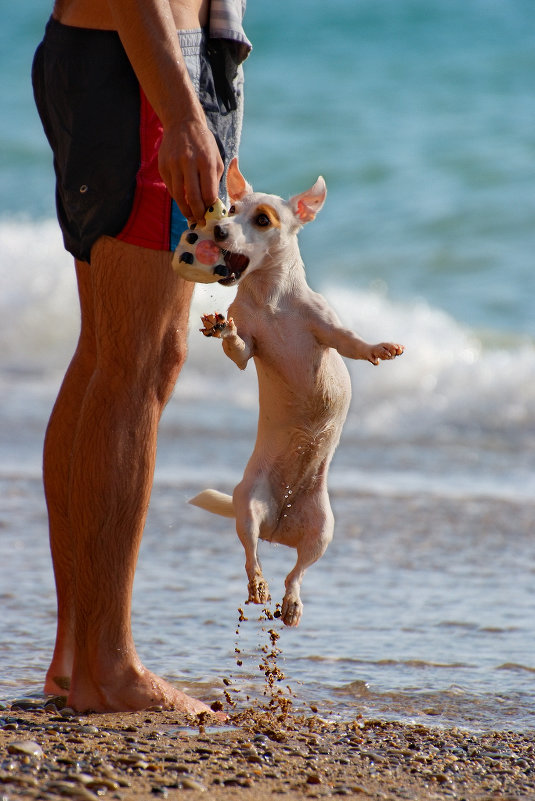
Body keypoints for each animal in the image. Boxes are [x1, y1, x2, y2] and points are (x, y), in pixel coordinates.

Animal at [188, 161, 402, 624]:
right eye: (230, 210)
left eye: (262, 220)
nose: (219, 230)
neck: (271, 301)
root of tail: (279, 526)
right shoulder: (249, 347)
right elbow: (239, 347)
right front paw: (224, 330)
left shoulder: (328, 330)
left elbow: (353, 343)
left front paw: (379, 349)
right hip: (248, 504)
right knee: (253, 555)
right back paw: (261, 587)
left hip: (322, 530)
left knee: (298, 572)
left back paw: (291, 604)